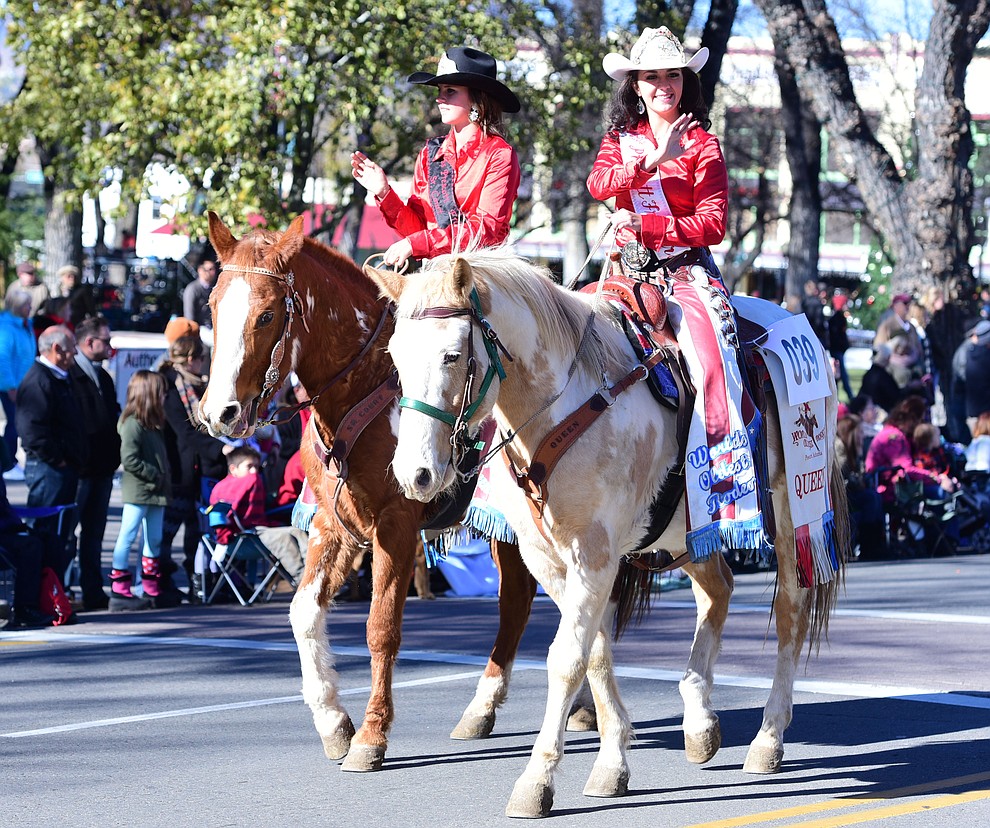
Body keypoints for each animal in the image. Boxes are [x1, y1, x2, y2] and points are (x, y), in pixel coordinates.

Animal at [198, 213, 548, 768]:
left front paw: (370, 735)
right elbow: (302, 614)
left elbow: (381, 628)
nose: (219, 413)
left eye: (267, 314)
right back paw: (493, 709)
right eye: (212, 306)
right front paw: (332, 721)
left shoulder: (396, 524)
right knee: (520, 601)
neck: (361, 388)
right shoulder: (332, 524)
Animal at [372, 249, 852, 820]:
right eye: (395, 357)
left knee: (789, 613)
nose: (415, 475)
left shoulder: (595, 556)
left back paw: (768, 739)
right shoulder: (550, 559)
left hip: (790, 511)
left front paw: (536, 780)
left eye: (451, 356)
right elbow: (595, 652)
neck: (564, 403)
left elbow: (566, 659)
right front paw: (612, 762)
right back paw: (699, 721)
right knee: (718, 591)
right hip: (689, 530)